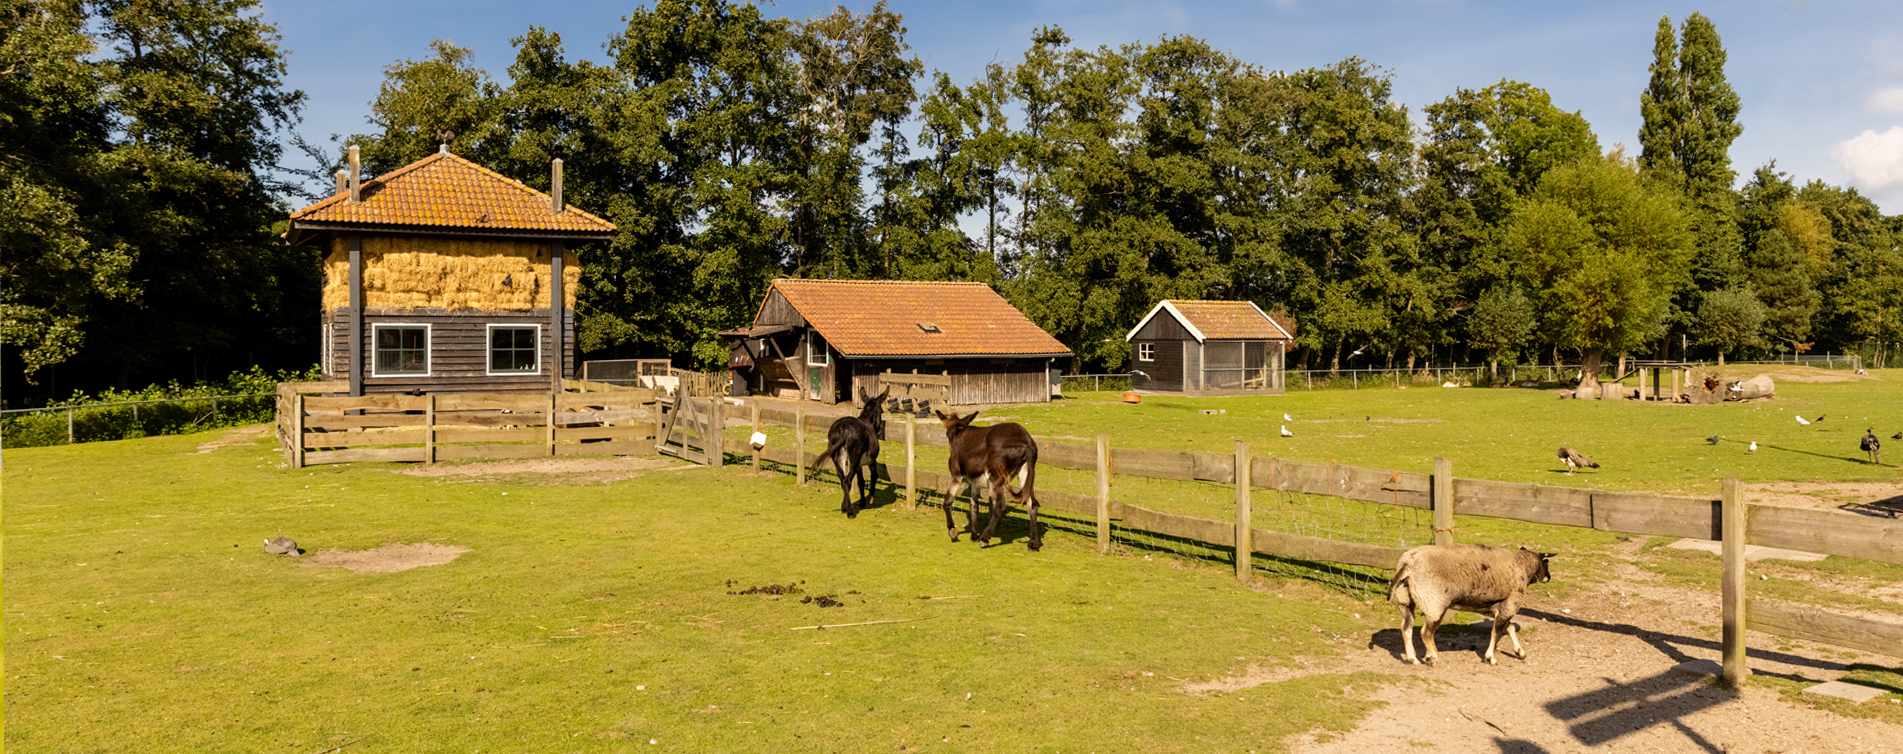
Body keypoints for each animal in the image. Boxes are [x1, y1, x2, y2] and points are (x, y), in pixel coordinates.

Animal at [1392, 544, 1552, 662]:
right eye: (1546, 562)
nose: (1549, 577)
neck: (1522, 566)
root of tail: (1408, 563)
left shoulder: (1496, 608)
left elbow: (1509, 628)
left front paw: (1520, 652)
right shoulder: (1510, 605)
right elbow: (1497, 632)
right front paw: (1490, 657)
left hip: (1406, 600)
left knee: (1406, 628)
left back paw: (1413, 658)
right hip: (1434, 603)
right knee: (1426, 632)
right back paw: (1434, 657)